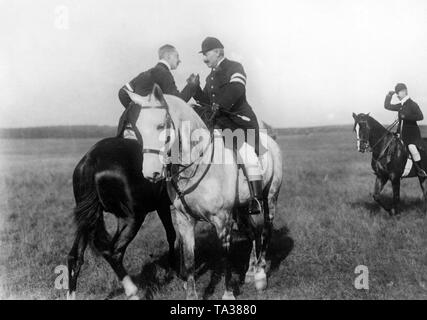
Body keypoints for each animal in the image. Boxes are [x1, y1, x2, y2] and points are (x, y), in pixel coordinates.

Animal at [126, 85, 284, 300]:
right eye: (138, 130)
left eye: (160, 126)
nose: (151, 173)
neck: (197, 164)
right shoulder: (184, 220)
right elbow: (190, 259)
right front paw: (191, 296)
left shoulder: (223, 220)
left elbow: (225, 257)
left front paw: (228, 294)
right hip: (243, 208)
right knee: (253, 232)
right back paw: (251, 271)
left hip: (270, 200)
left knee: (266, 231)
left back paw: (260, 274)